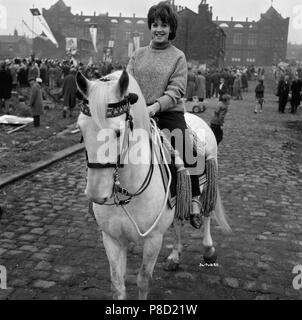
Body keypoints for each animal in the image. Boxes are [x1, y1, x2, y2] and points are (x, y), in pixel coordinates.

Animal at [76, 70, 230, 300]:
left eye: (118, 132)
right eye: (81, 129)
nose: (95, 193)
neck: (129, 189)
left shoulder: (153, 239)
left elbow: (143, 280)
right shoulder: (112, 239)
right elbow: (118, 285)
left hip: (208, 185)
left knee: (207, 214)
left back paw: (208, 249)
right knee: (178, 223)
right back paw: (175, 256)